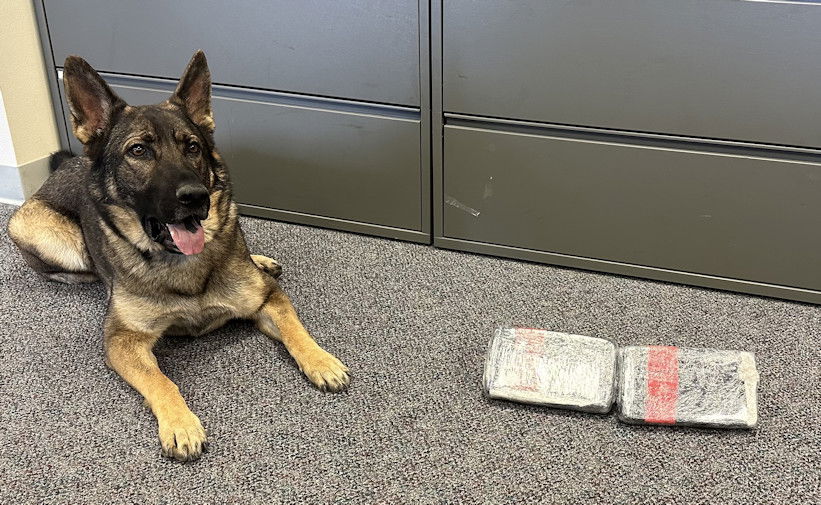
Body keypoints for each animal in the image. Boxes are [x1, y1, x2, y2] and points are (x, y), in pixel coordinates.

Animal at [8, 51, 350, 460]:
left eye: (193, 147)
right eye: (138, 150)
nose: (195, 197)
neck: (185, 265)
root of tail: (65, 165)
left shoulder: (267, 299)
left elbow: (294, 329)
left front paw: (320, 360)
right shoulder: (123, 340)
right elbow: (160, 380)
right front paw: (180, 423)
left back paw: (261, 260)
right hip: (39, 231)